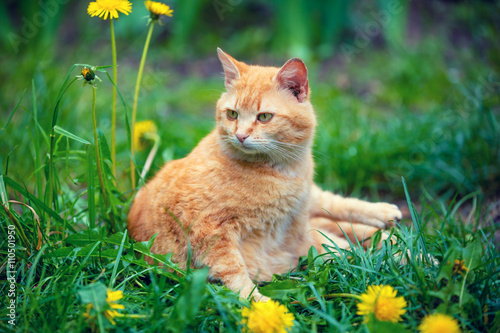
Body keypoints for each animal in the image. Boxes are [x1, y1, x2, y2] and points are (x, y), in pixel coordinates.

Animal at [129, 48, 402, 300]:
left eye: (264, 117)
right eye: (232, 114)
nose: (240, 135)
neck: (284, 170)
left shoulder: (300, 211)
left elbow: (338, 212)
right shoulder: (210, 231)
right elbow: (233, 272)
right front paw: (261, 306)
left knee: (335, 208)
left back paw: (386, 218)